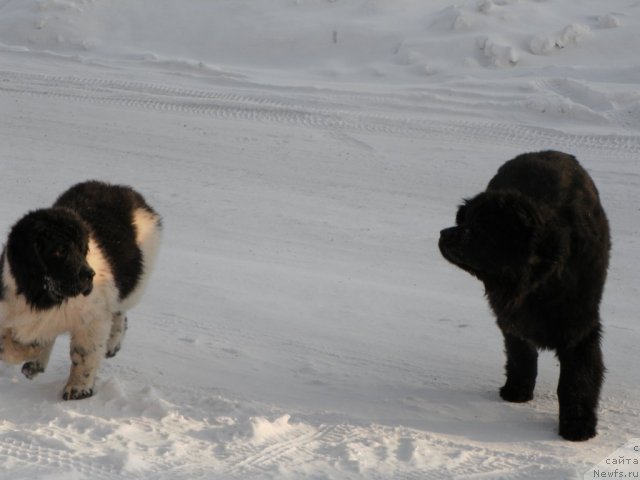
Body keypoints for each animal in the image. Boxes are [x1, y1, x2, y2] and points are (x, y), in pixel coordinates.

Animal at [0, 182, 160, 400]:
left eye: (82, 248)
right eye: (59, 250)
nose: (89, 275)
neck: (42, 295)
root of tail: (123, 190)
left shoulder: (93, 317)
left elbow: (84, 353)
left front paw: (78, 388)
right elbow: (7, 345)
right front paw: (33, 352)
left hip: (135, 281)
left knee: (119, 310)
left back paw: (113, 342)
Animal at [440, 152, 608, 440]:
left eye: (478, 227)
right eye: (464, 221)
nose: (443, 233)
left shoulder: (580, 327)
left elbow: (577, 380)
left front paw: (577, 427)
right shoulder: (512, 321)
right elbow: (521, 355)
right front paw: (517, 391)